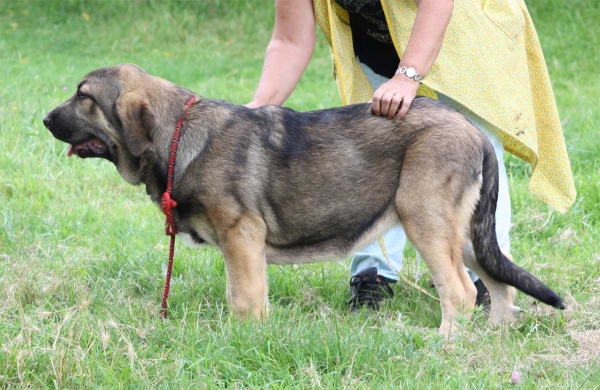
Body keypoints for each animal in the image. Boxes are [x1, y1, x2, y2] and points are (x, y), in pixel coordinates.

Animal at [42, 64, 564, 336]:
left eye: (84, 96)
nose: (44, 120)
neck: (177, 136)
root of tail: (473, 131)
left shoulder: (241, 237)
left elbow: (243, 298)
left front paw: (243, 340)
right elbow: (249, 296)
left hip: (427, 222)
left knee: (460, 292)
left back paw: (445, 345)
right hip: (468, 235)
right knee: (500, 287)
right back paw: (491, 341)